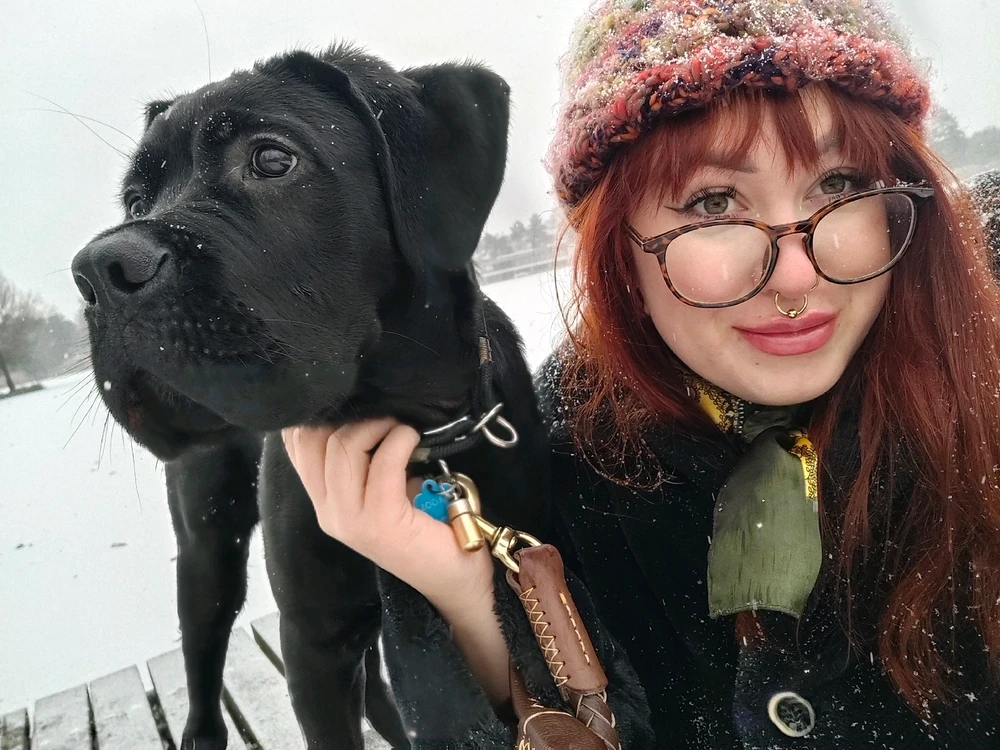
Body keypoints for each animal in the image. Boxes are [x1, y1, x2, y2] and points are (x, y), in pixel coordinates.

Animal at [71, 45, 551, 749]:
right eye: (134, 201)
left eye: (273, 159)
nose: (97, 272)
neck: (416, 432)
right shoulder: (311, 644)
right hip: (209, 546)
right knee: (203, 655)